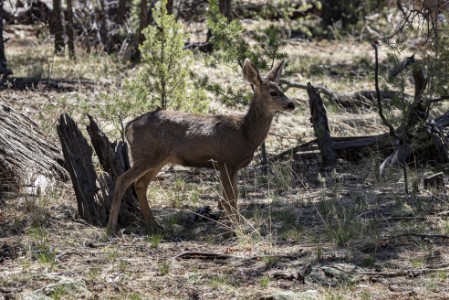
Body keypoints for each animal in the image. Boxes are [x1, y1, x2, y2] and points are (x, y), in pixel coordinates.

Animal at [105, 57, 294, 233]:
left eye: (282, 90)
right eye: (273, 93)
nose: (291, 104)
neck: (245, 133)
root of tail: (129, 126)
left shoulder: (232, 166)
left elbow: (231, 197)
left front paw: (235, 225)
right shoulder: (226, 161)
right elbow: (230, 198)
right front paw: (237, 228)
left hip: (159, 159)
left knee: (140, 184)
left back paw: (155, 225)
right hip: (146, 155)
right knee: (123, 180)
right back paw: (111, 228)